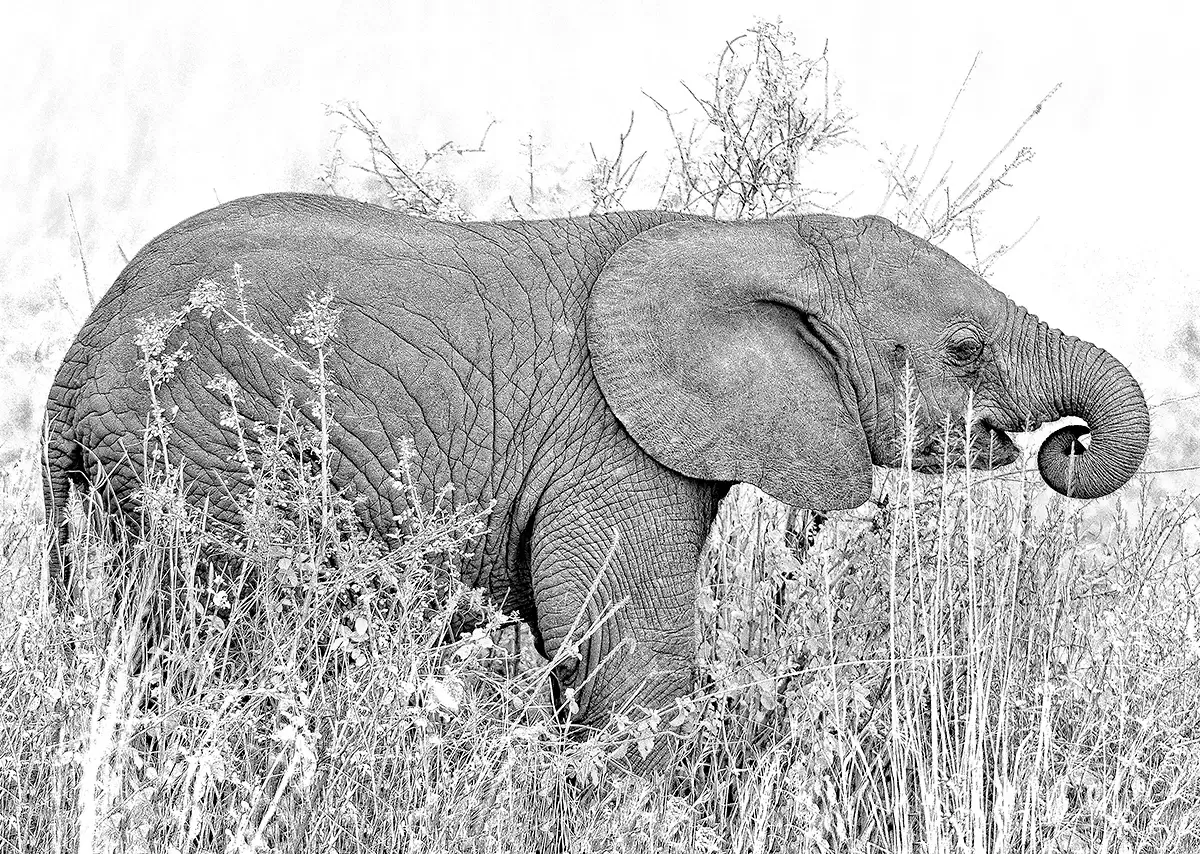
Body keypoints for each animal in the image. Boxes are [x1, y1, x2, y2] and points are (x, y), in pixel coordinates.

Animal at [43, 192, 1150, 730]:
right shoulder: (611, 443)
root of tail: (80, 352)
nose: (1069, 441)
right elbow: (628, 663)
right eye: (961, 348)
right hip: (201, 446)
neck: (759, 241)